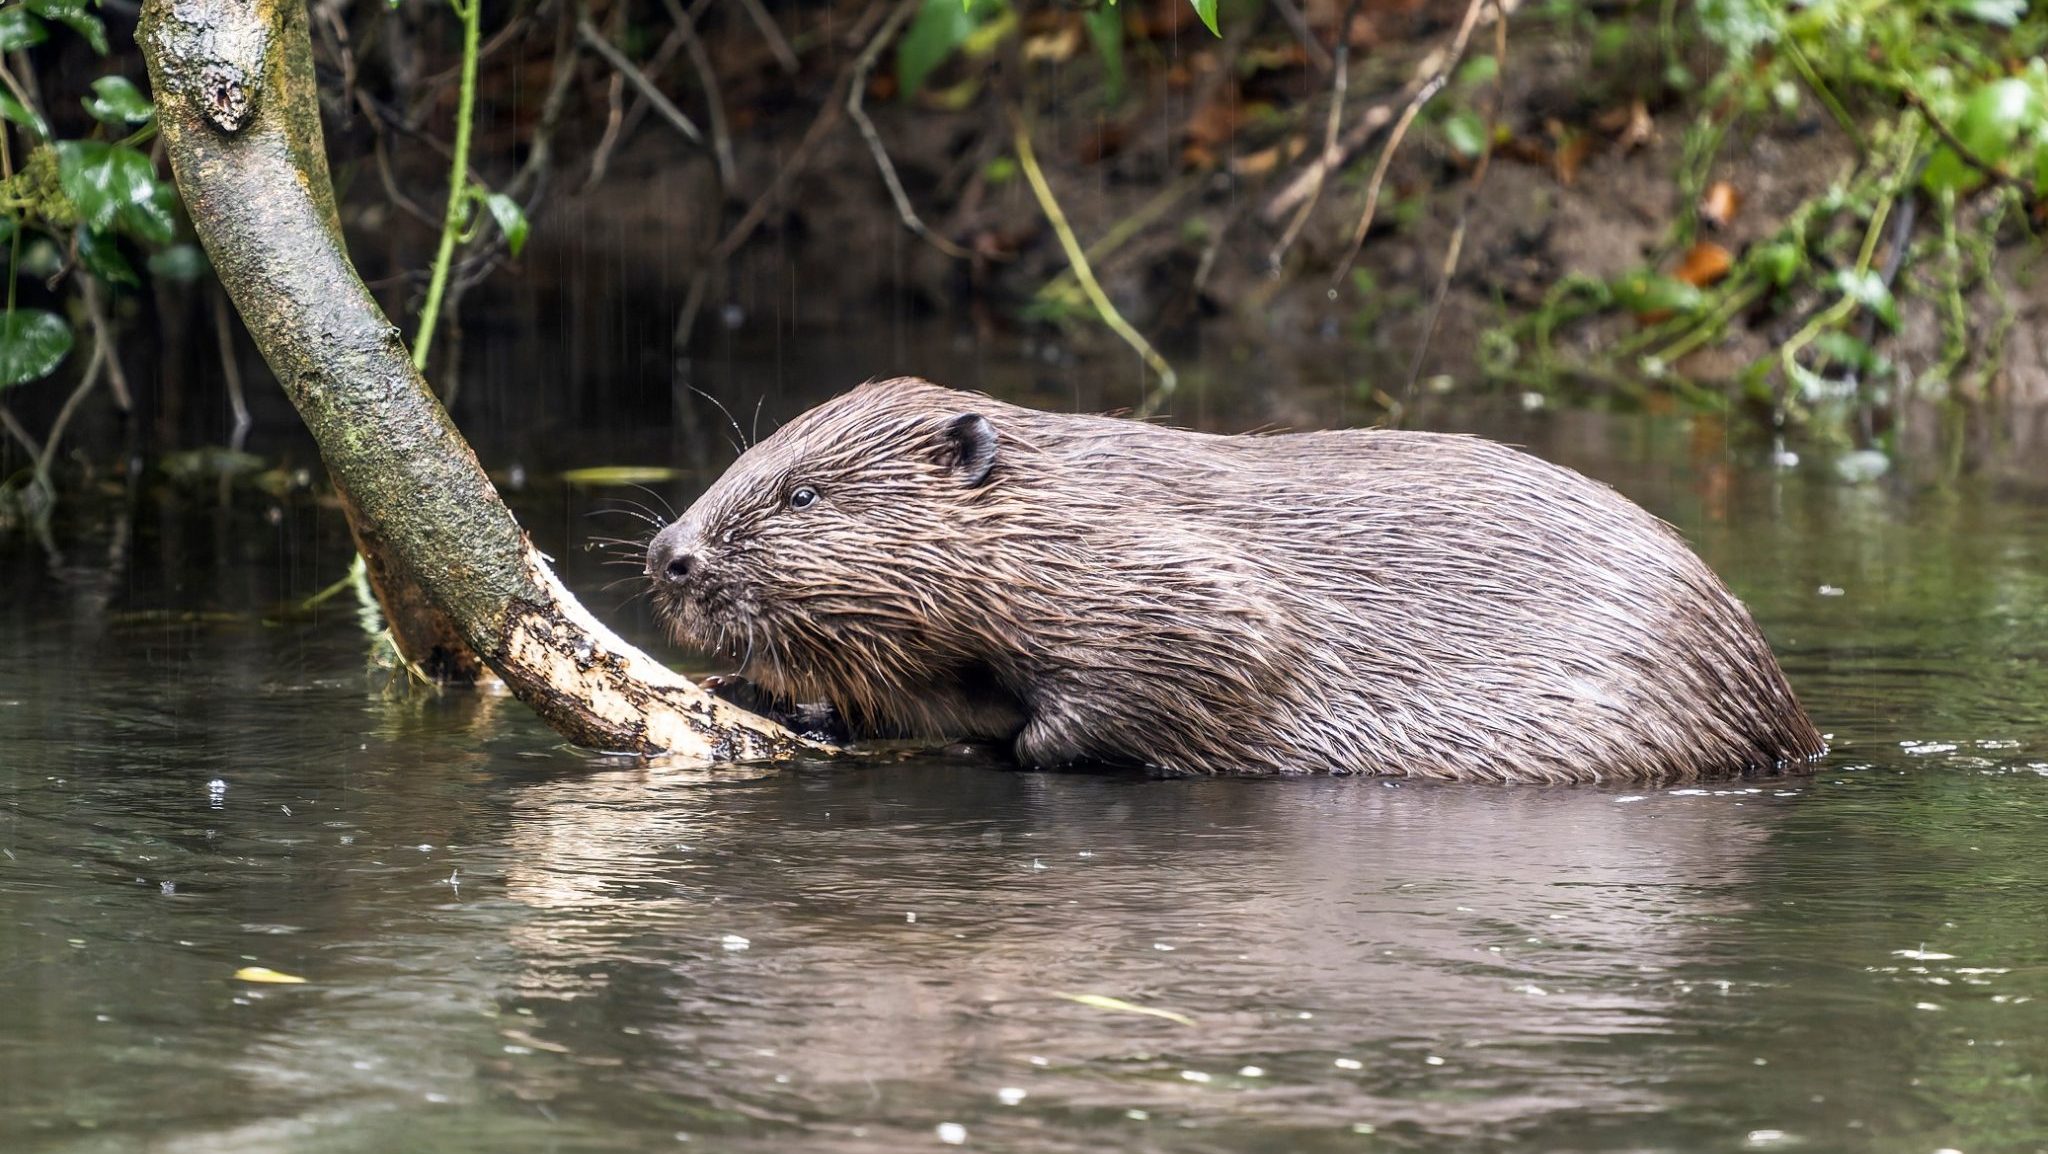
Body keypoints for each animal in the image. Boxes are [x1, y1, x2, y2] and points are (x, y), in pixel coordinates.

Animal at [643, 379, 1826, 787]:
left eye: (802, 494)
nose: (669, 557)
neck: (1064, 510)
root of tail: (1796, 724)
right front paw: (782, 702)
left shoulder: (1181, 584)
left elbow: (1178, 674)